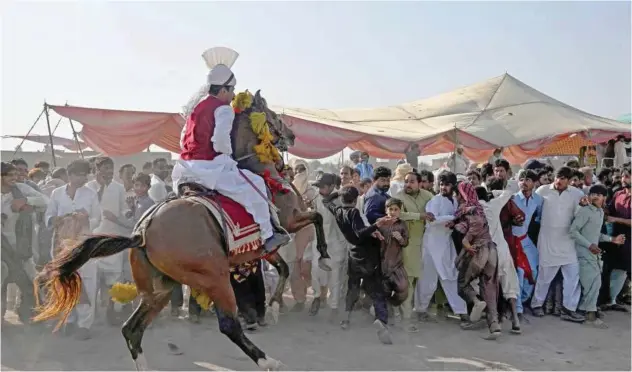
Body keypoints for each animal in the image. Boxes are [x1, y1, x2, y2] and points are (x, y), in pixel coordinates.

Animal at [33, 91, 330, 372]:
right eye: (271, 114)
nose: (291, 135)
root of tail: (141, 232)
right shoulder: (290, 221)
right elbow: (316, 218)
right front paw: (324, 257)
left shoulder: (262, 248)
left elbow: (284, 268)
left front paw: (276, 304)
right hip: (215, 278)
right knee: (228, 325)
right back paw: (268, 361)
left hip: (159, 289)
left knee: (132, 328)